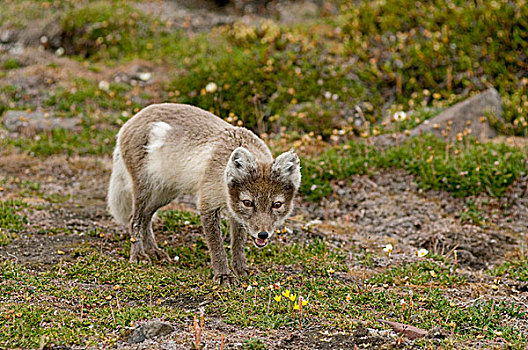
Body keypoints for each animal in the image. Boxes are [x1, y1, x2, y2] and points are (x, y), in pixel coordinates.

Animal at [108, 102, 302, 284]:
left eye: (276, 204)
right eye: (248, 203)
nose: (263, 234)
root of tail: (130, 121)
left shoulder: (235, 212)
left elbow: (238, 244)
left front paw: (241, 269)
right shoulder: (207, 205)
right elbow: (217, 246)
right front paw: (223, 275)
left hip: (165, 193)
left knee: (146, 217)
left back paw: (153, 251)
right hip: (145, 189)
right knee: (134, 219)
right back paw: (138, 255)